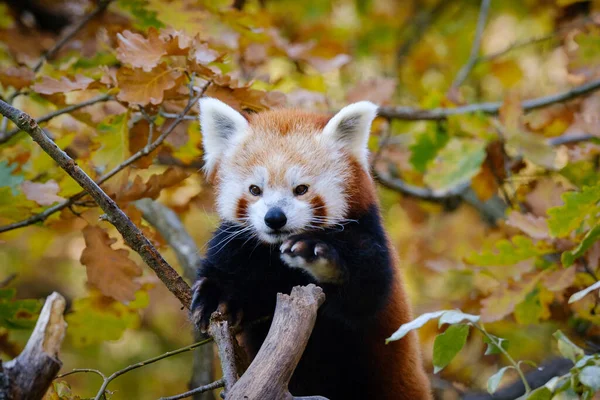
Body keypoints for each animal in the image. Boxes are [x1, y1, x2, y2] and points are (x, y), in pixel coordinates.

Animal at [192, 97, 432, 400]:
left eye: (301, 189)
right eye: (255, 189)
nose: (274, 218)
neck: (276, 259)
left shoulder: (369, 240)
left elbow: (365, 294)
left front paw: (321, 261)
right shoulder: (239, 247)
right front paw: (216, 296)